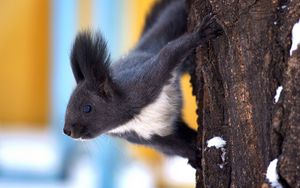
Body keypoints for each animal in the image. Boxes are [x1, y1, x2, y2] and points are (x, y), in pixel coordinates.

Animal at [63, 0, 221, 167]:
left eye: (87, 108)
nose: (67, 131)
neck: (130, 118)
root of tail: (140, 49)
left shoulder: (146, 81)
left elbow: (169, 52)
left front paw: (201, 33)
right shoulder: (142, 137)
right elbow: (173, 147)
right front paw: (195, 156)